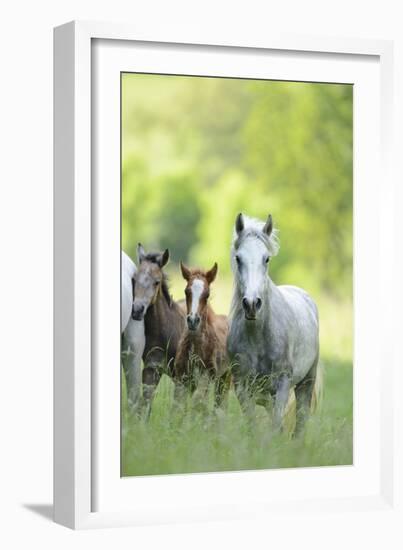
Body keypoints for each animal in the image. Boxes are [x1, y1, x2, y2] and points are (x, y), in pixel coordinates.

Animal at [227, 215, 318, 436]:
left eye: (266, 258)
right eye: (238, 258)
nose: (252, 304)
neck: (258, 336)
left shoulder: (282, 384)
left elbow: (276, 425)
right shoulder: (242, 386)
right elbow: (253, 424)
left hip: (306, 382)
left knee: (301, 420)